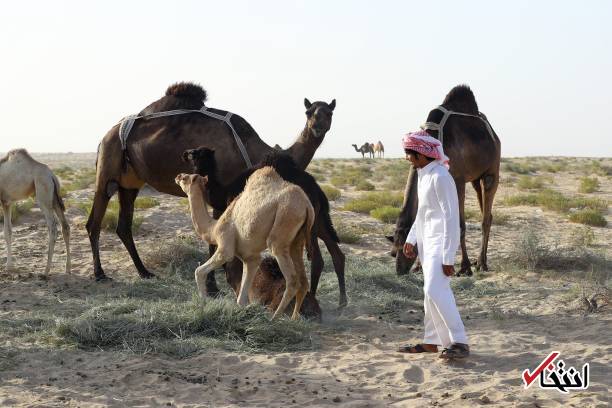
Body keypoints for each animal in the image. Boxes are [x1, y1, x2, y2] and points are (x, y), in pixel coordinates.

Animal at [0, 148, 71, 276]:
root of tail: (51, 175)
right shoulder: (6, 202)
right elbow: (8, 231)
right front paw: (9, 267)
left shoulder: (4, 201)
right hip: (54, 198)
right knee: (65, 227)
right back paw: (67, 268)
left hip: (43, 193)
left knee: (53, 228)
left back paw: (46, 271)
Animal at [86, 81, 334, 282]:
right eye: (308, 111)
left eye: (329, 112)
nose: (318, 126)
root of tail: (106, 135)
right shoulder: (220, 195)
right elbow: (214, 240)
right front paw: (215, 283)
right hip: (107, 165)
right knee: (94, 222)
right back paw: (100, 274)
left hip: (130, 182)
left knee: (124, 226)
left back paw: (144, 272)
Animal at [175, 167, 314, 320]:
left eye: (185, 178)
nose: (177, 176)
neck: (214, 229)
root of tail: (307, 206)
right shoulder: (250, 257)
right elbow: (241, 297)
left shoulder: (225, 247)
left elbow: (199, 271)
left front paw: (203, 303)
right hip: (297, 241)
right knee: (303, 280)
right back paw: (294, 318)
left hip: (282, 227)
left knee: (292, 280)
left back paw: (274, 317)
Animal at [180, 149, 344, 306]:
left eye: (196, 154)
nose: (186, 154)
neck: (223, 193)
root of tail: (318, 192)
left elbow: (232, 266)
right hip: (319, 222)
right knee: (335, 254)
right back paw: (341, 303)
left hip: (306, 228)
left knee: (315, 260)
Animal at [390, 86, 500, 278]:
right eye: (393, 252)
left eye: (407, 250)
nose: (400, 272)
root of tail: (494, 134)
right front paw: (420, 267)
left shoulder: (458, 179)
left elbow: (459, 224)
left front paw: (464, 268)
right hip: (475, 178)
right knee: (487, 212)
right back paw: (480, 260)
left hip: (492, 171)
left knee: (486, 216)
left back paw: (481, 264)